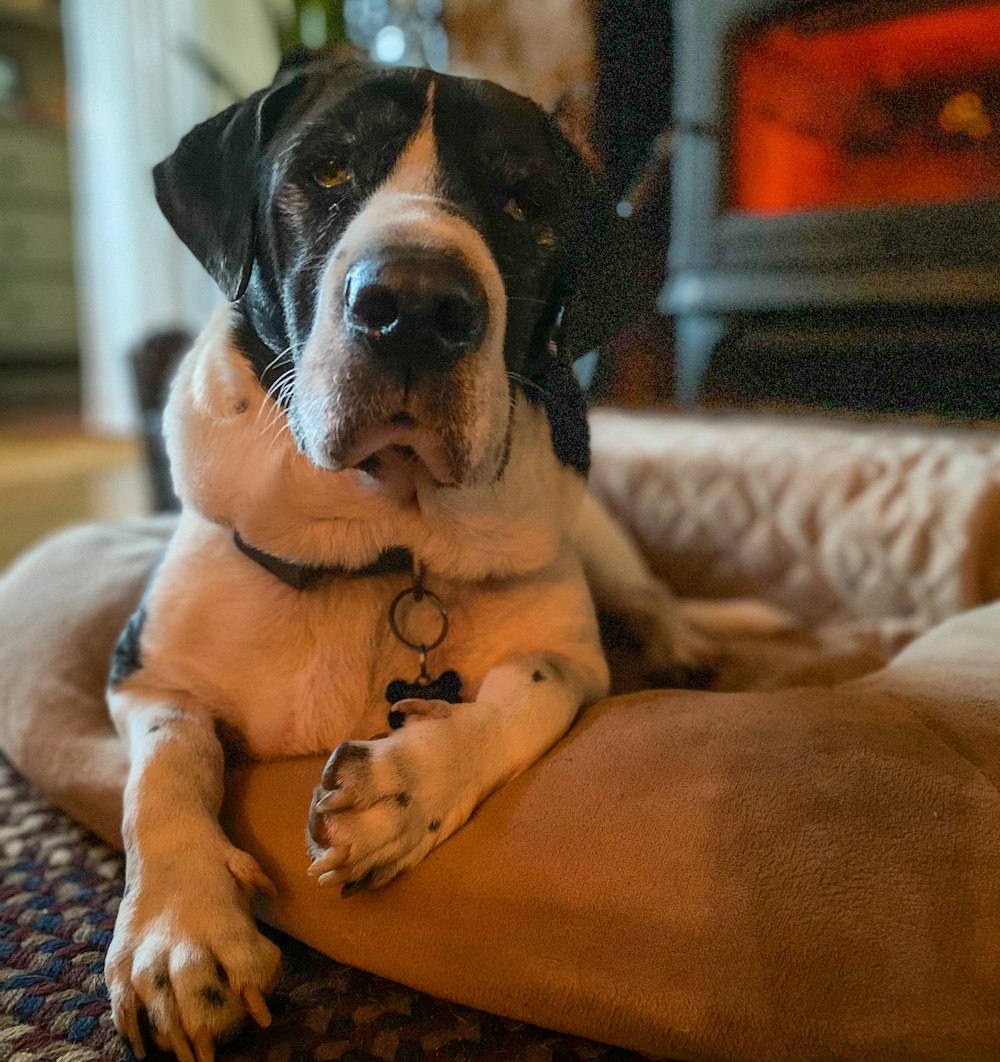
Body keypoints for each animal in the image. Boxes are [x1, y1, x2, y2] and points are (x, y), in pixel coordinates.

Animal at [97, 56, 781, 1062]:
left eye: (522, 201)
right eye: (327, 171)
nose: (414, 305)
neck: (381, 545)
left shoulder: (567, 654)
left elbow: (522, 691)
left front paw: (405, 783)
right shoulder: (144, 672)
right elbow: (164, 772)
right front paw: (178, 933)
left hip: (603, 540)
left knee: (653, 596)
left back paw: (684, 645)